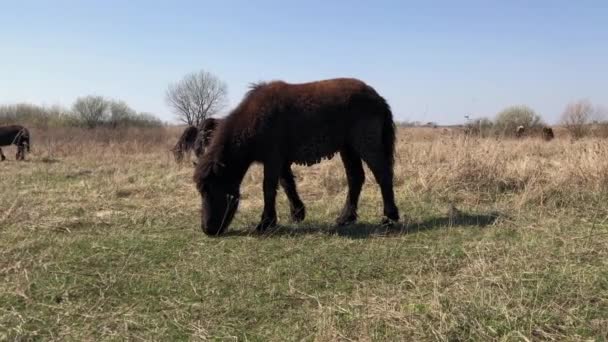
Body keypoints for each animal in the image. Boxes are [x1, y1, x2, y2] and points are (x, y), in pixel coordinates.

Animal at [194, 79, 400, 236]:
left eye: (213, 189)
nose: (208, 230)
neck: (255, 120)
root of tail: (378, 98)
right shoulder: (281, 161)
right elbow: (287, 184)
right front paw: (297, 214)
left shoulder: (273, 159)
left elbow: (269, 188)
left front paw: (266, 222)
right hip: (348, 149)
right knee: (355, 178)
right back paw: (346, 218)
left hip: (366, 146)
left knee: (383, 175)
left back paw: (389, 218)